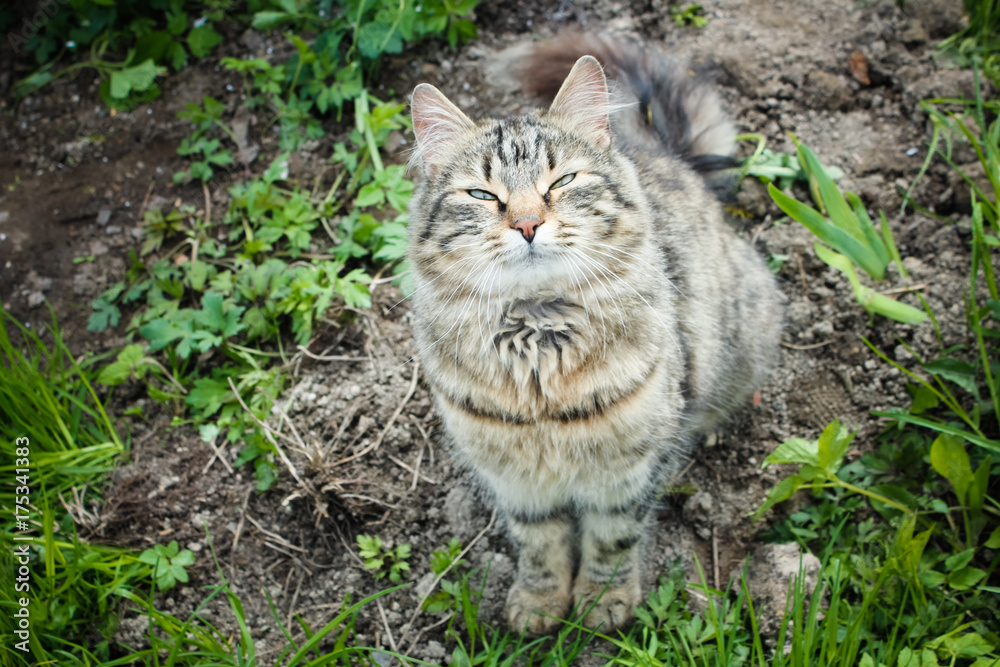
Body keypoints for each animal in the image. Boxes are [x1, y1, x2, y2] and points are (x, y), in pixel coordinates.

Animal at [404, 34, 780, 636]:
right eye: (483, 196)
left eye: (561, 182)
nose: (527, 225)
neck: (537, 343)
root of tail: (677, 161)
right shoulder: (517, 483)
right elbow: (539, 545)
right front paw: (539, 603)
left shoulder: (633, 469)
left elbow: (612, 539)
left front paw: (604, 602)